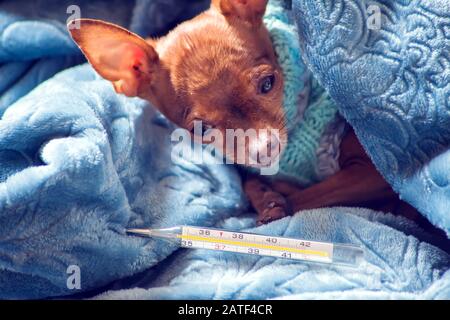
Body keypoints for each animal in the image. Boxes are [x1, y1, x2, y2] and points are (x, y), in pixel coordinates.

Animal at [68, 0, 430, 230]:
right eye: (202, 129)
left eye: (269, 83)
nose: (263, 148)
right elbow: (250, 182)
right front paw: (266, 193)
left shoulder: (372, 173)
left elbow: (306, 197)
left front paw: (275, 202)